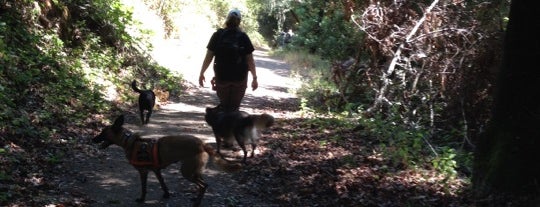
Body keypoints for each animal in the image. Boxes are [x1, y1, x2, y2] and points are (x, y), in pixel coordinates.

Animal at [92, 114, 234, 206]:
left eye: (103, 133)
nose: (92, 139)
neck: (130, 142)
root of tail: (201, 143)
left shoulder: (143, 172)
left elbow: (144, 188)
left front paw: (142, 199)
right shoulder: (156, 171)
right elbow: (163, 184)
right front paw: (166, 195)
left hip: (187, 172)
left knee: (203, 186)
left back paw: (197, 203)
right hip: (194, 171)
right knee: (204, 185)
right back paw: (196, 199)